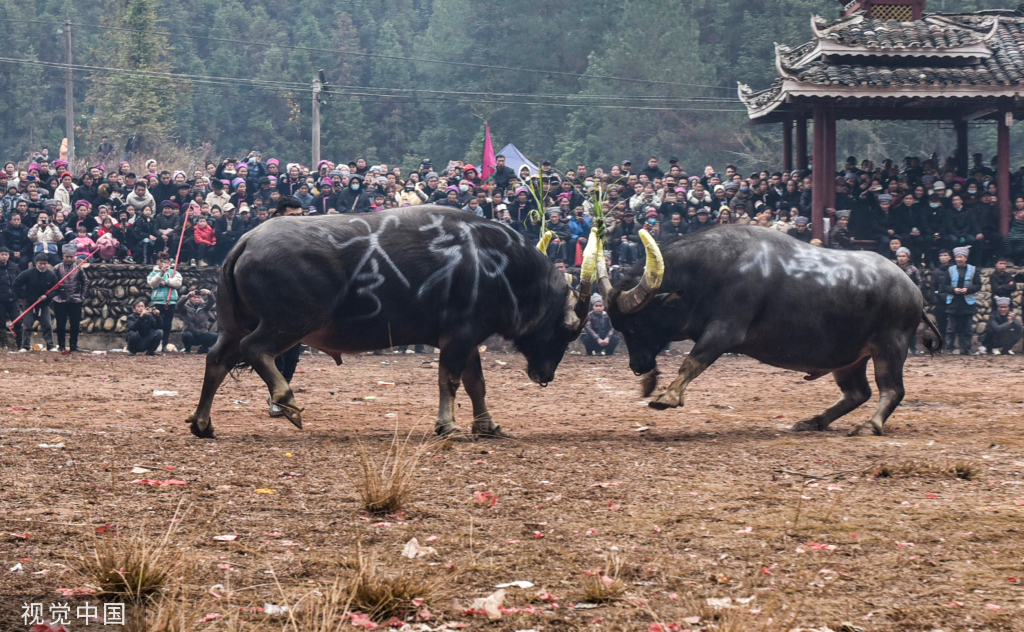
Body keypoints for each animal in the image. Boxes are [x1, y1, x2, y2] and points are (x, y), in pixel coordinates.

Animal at [188, 206, 598, 438]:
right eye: (565, 332)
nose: (545, 375)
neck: (495, 264)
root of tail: (245, 242)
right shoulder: (458, 336)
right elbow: (450, 381)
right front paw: (448, 426)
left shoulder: (467, 339)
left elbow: (475, 384)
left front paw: (487, 425)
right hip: (290, 322)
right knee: (256, 351)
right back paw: (286, 401)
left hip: (234, 325)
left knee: (216, 361)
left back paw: (203, 423)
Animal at [598, 224, 942, 436]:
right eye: (619, 327)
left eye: (636, 323)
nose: (638, 366)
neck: (709, 271)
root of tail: (912, 290)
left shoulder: (725, 331)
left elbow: (692, 361)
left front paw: (667, 397)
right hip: (849, 358)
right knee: (858, 392)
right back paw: (813, 421)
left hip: (890, 346)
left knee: (892, 390)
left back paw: (870, 425)